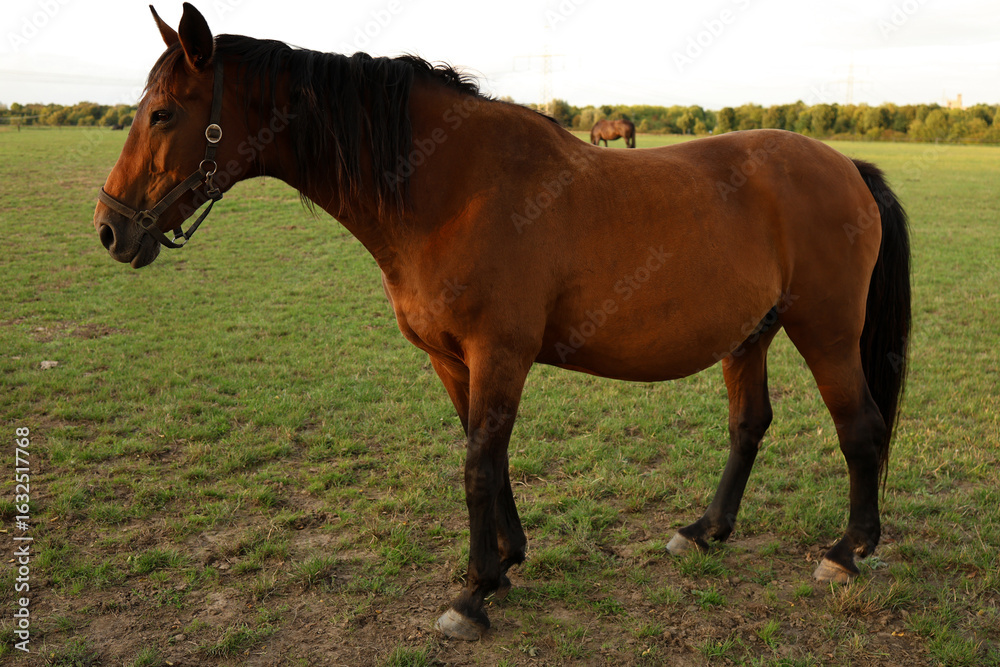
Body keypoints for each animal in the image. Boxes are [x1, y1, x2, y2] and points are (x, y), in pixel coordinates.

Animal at [94, 4, 911, 641]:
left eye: (163, 113)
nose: (110, 229)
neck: (448, 186)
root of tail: (847, 166)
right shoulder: (453, 359)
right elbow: (487, 455)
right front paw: (506, 561)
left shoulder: (499, 354)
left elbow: (478, 464)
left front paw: (473, 595)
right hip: (752, 334)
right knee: (749, 425)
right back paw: (704, 530)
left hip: (826, 332)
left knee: (860, 428)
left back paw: (846, 551)